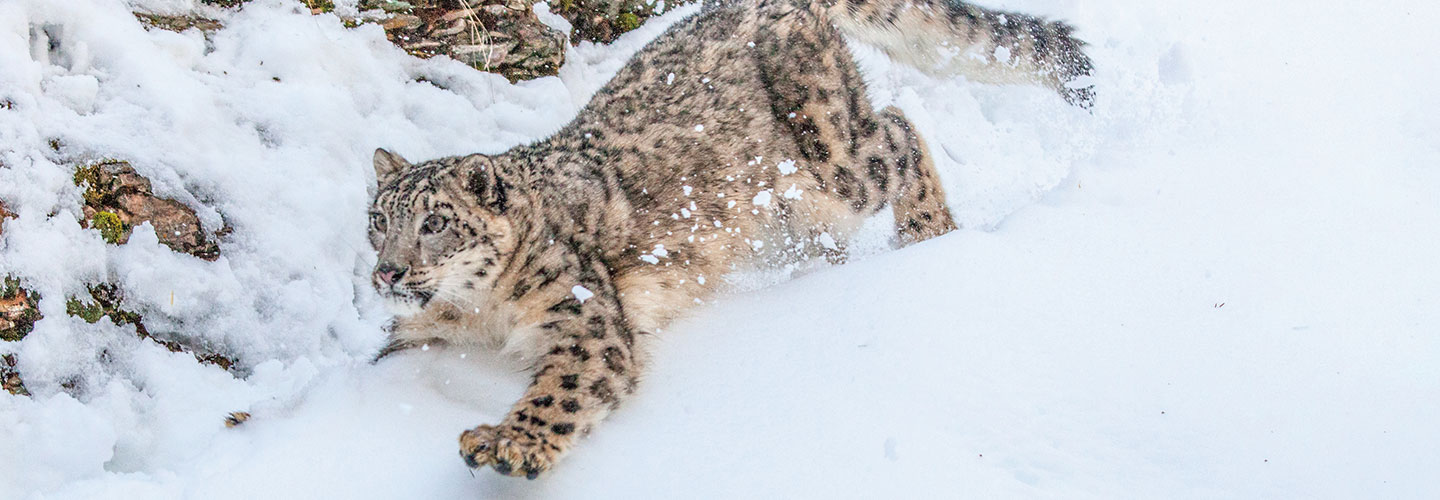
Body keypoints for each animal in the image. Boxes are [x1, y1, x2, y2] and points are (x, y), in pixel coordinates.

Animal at [368, 0, 1088, 481]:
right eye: (377, 221)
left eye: (435, 223)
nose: (388, 274)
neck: (478, 314)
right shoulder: (416, 334)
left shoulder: (584, 318)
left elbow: (563, 389)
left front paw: (509, 444)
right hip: (800, 215)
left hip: (834, 159)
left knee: (897, 129)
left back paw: (930, 236)